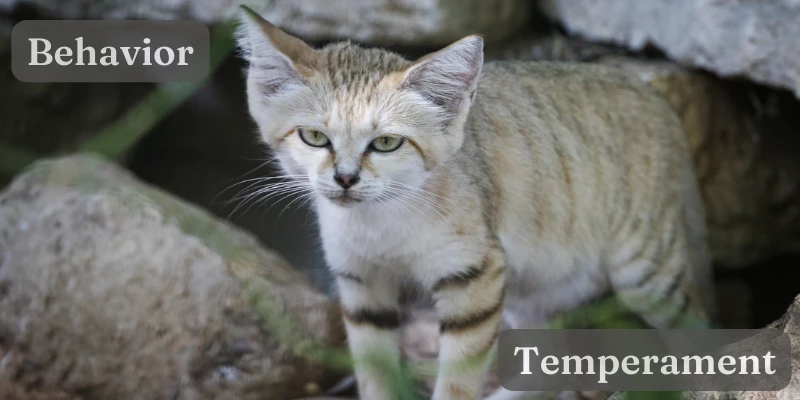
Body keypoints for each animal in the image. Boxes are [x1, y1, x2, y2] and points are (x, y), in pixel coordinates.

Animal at [234, 6, 716, 400]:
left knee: (700, 334)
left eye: (387, 143)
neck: (380, 220)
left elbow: (457, 383)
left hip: (645, 273)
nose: (346, 178)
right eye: (314, 137)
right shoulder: (361, 284)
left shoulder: (473, 278)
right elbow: (374, 376)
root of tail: (653, 95)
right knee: (550, 365)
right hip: (531, 283)